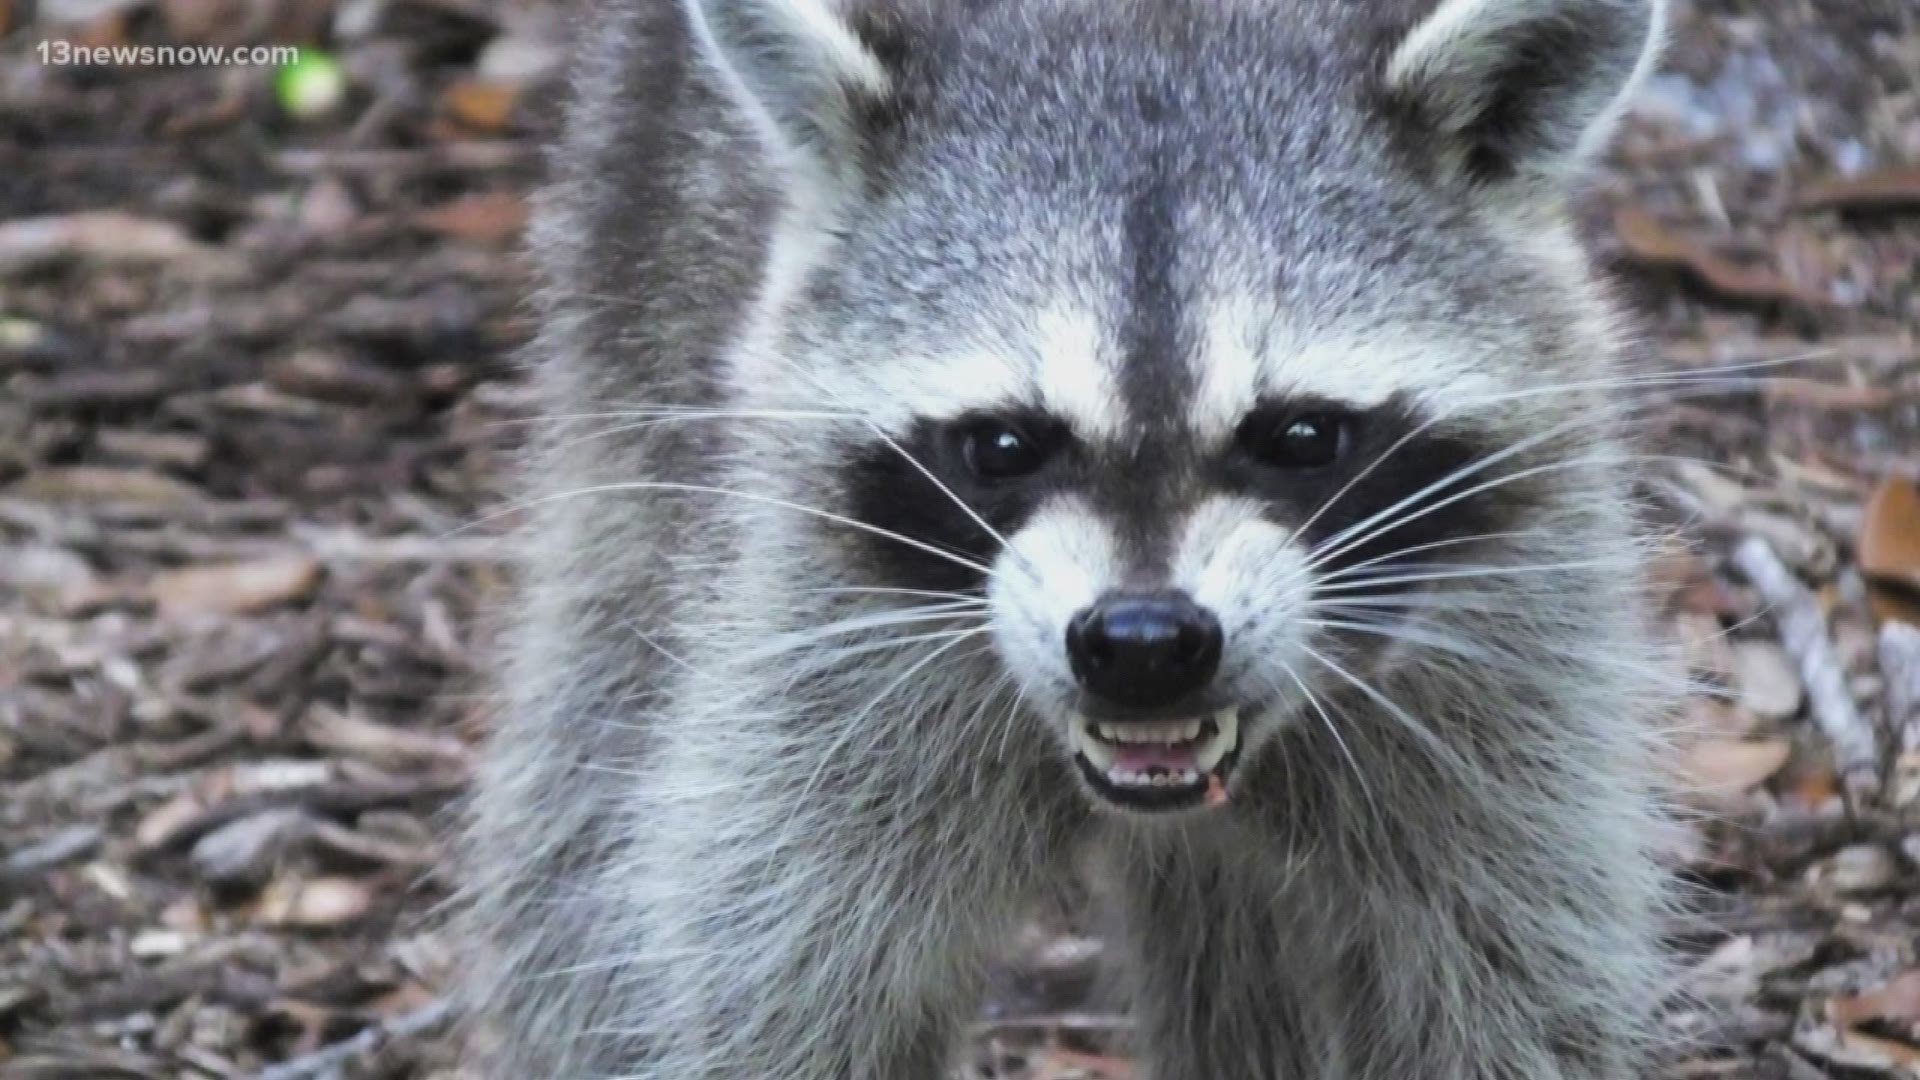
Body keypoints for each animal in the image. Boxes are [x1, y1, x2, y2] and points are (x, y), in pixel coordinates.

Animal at [462, 0, 1678, 1076]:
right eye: (1004, 444)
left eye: (1300, 435)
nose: (1143, 643)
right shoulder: (818, 648)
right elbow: (771, 972)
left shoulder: (1512, 646)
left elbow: (1509, 973)